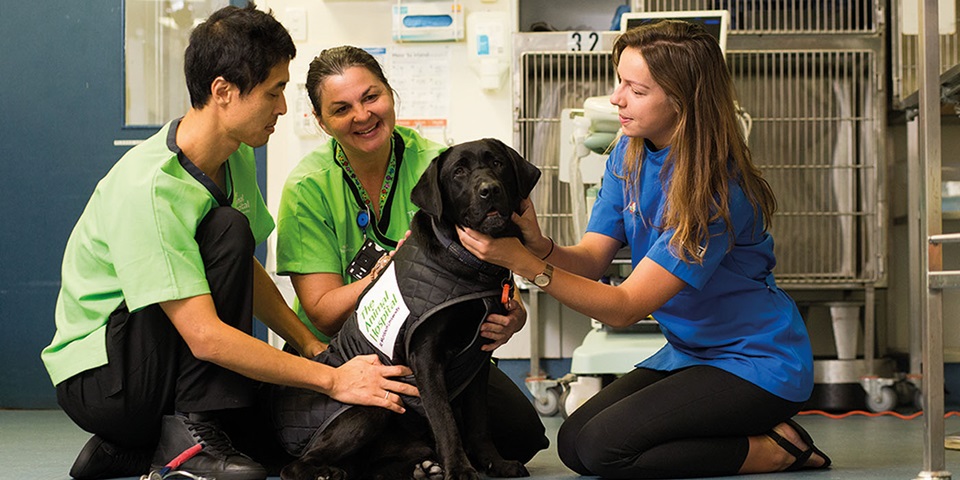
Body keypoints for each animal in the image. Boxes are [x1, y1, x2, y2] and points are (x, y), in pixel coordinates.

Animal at [274, 137, 544, 478]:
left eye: (497, 163)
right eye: (458, 172)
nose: (489, 189)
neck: (467, 262)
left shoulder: (479, 357)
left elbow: (479, 422)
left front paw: (495, 463)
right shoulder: (426, 357)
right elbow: (445, 420)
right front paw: (460, 469)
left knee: (373, 469)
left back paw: (423, 468)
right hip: (373, 407)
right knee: (295, 465)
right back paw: (327, 472)